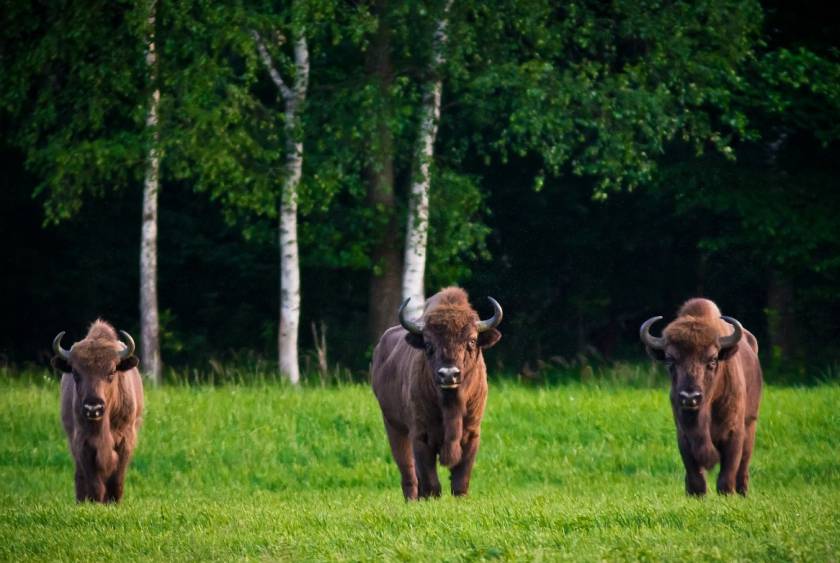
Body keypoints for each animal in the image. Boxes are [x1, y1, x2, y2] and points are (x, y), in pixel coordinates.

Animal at [51, 320, 144, 504]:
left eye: (112, 371)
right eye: (75, 373)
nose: (93, 408)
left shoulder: (125, 441)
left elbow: (117, 480)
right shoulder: (83, 443)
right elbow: (94, 482)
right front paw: (94, 502)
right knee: (80, 476)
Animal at [372, 288, 502, 500]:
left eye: (472, 340)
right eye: (428, 344)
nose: (449, 374)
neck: (450, 406)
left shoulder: (472, 434)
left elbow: (460, 480)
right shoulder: (420, 436)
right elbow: (430, 481)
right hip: (394, 426)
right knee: (408, 473)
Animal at [640, 298, 764, 496]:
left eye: (712, 360)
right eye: (670, 360)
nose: (690, 397)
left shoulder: (734, 433)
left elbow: (726, 475)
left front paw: (727, 495)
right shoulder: (684, 436)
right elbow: (695, 475)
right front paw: (695, 494)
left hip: (750, 423)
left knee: (743, 466)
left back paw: (743, 492)